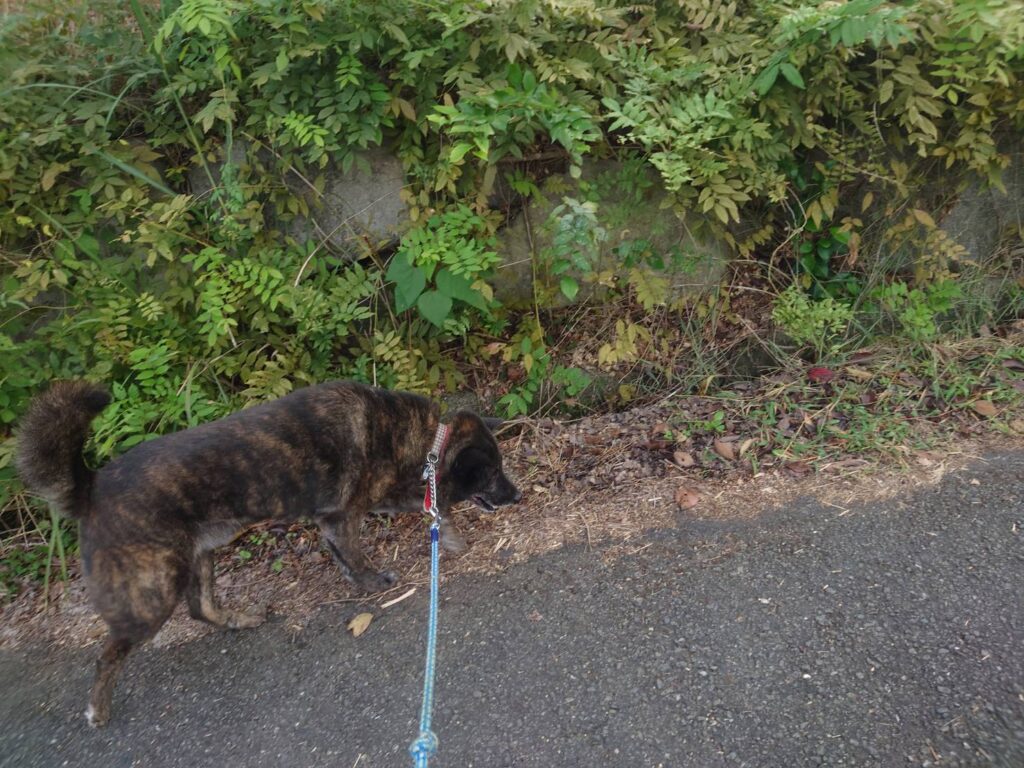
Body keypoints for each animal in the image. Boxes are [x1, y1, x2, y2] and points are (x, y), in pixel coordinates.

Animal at [16, 379, 520, 727]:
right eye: (494, 472)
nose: (516, 495)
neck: (426, 441)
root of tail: (92, 487)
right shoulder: (344, 514)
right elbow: (361, 552)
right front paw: (375, 581)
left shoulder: (380, 498)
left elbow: (429, 506)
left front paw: (448, 536)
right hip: (153, 591)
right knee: (109, 655)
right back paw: (97, 708)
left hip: (200, 554)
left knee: (201, 609)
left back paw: (242, 619)